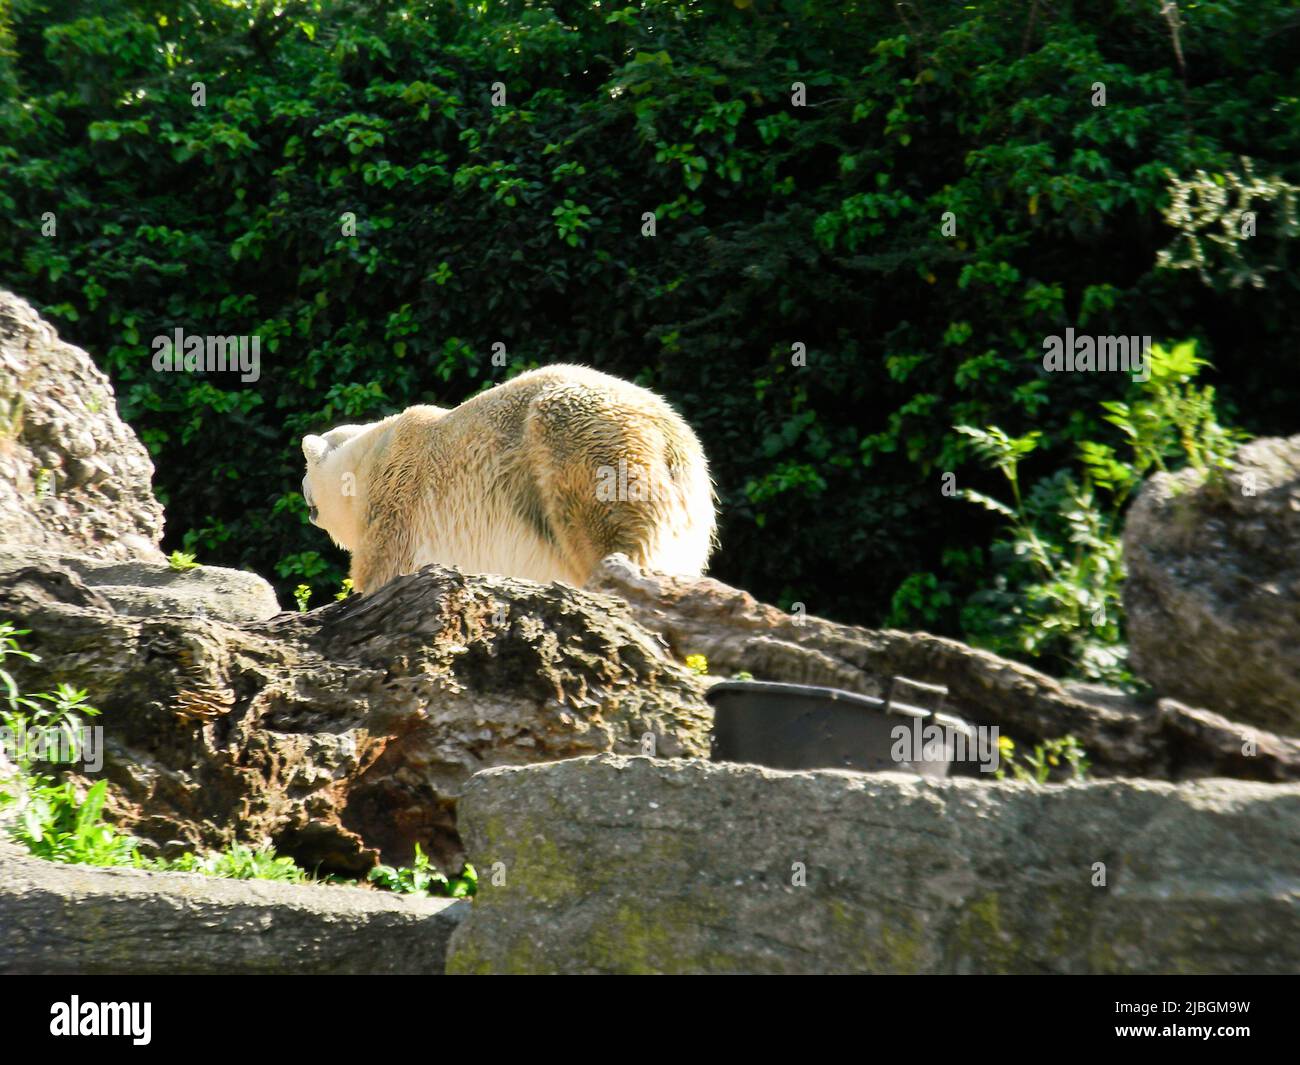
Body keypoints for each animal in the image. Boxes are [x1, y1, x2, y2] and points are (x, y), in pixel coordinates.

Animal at [301, 364, 717, 593]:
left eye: (305, 471)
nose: (304, 498)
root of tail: (667, 433)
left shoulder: (396, 500)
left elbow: (382, 571)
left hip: (581, 443)